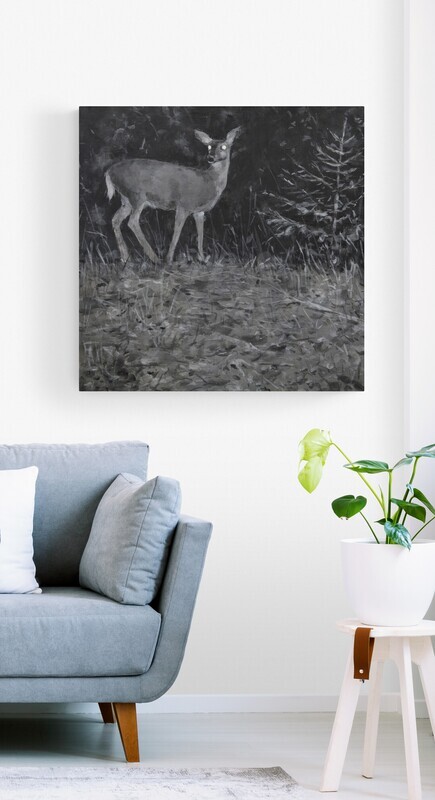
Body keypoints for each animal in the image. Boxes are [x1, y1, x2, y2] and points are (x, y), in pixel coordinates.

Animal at [105, 127, 241, 265]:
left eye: (223, 146)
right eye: (208, 146)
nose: (211, 157)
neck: (210, 181)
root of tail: (108, 172)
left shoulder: (199, 211)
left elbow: (200, 233)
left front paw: (202, 258)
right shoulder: (184, 204)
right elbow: (177, 230)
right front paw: (169, 259)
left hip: (126, 200)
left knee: (116, 219)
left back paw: (125, 257)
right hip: (137, 195)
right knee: (132, 222)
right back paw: (155, 258)